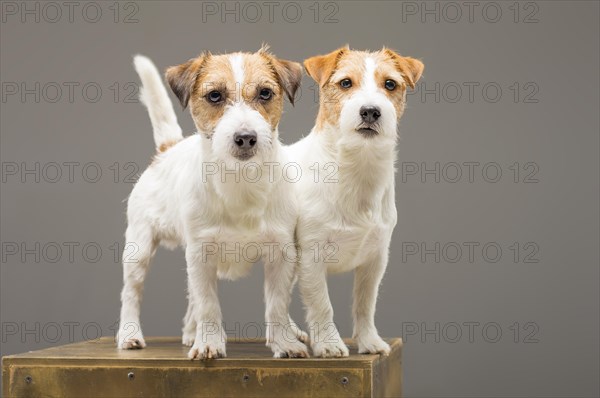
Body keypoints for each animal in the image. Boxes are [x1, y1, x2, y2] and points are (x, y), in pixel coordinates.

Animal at [119, 48, 312, 360]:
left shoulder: (282, 253)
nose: (245, 137)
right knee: (132, 293)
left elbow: (277, 304)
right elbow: (208, 304)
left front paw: (284, 342)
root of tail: (166, 150)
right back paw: (130, 335)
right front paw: (209, 342)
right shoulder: (201, 253)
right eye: (214, 96)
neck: (241, 183)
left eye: (265, 93)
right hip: (139, 249)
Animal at [288, 45, 424, 358]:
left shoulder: (375, 260)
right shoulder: (312, 257)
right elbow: (322, 304)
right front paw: (329, 343)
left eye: (390, 84)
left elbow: (365, 304)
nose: (370, 111)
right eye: (346, 83)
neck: (356, 168)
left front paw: (369, 341)